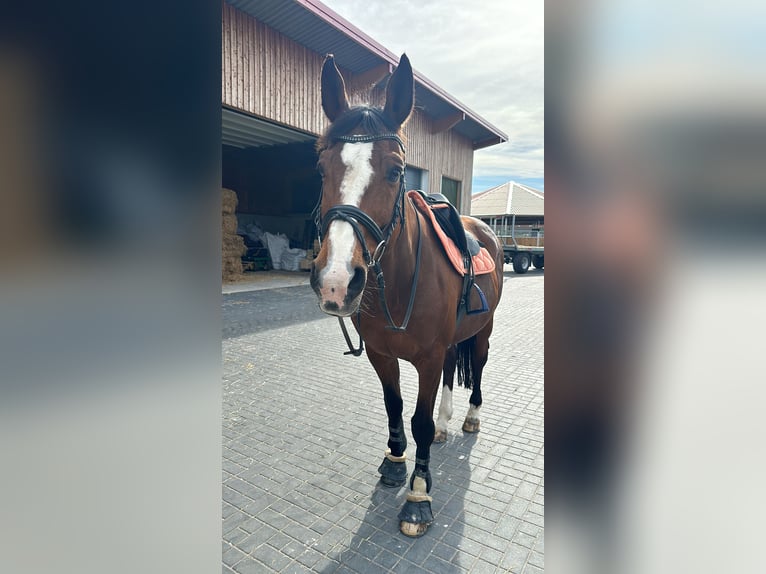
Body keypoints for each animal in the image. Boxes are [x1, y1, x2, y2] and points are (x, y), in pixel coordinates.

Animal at [308, 54, 508, 540]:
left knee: (477, 365)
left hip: (484, 330)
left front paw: (418, 494)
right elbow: (395, 406)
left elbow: (417, 418)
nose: (336, 281)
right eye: (321, 169)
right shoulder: (382, 353)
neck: (397, 286)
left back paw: (470, 417)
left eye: (397, 170)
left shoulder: (429, 357)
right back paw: (446, 424)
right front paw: (396, 461)